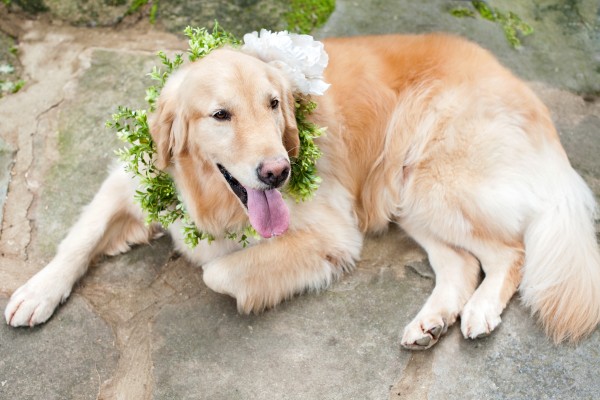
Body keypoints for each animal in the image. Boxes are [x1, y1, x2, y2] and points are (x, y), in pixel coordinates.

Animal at [5, 34, 600, 348]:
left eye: (274, 103)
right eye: (220, 114)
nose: (278, 172)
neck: (208, 193)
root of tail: (523, 90)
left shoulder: (333, 232)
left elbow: (219, 270)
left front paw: (216, 254)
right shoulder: (129, 177)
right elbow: (79, 239)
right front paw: (36, 291)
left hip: (433, 183)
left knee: (510, 252)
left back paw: (479, 313)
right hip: (406, 197)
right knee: (463, 263)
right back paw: (430, 323)